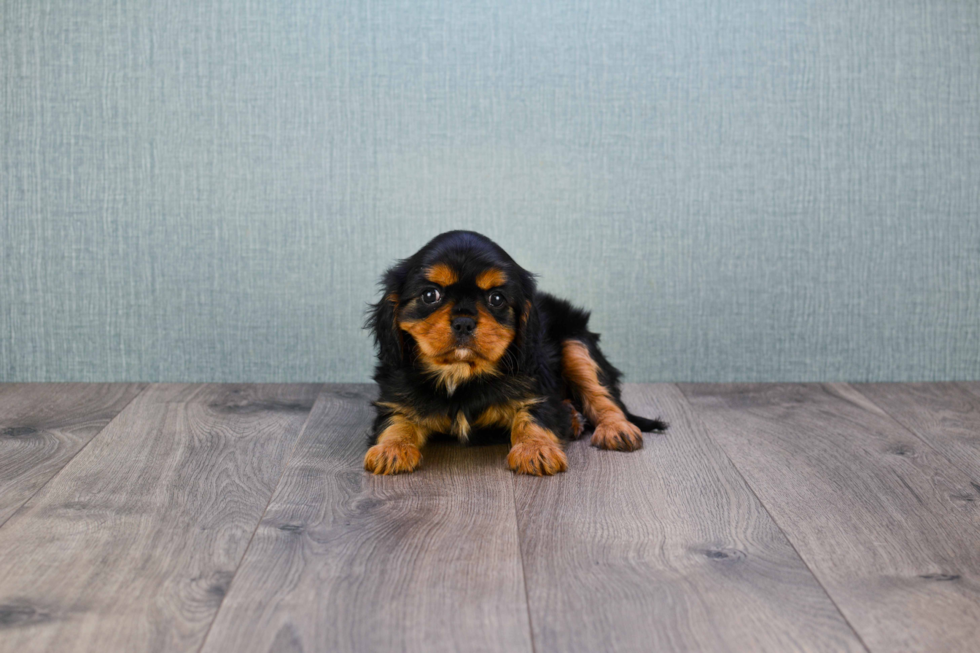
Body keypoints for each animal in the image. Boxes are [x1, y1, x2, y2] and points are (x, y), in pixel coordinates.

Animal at [366, 229, 668, 474]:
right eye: (430, 295)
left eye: (496, 298)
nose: (464, 321)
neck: (460, 372)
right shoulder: (396, 395)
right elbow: (396, 421)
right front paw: (391, 450)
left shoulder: (537, 388)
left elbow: (533, 417)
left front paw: (536, 450)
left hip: (575, 342)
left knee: (601, 394)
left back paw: (615, 428)